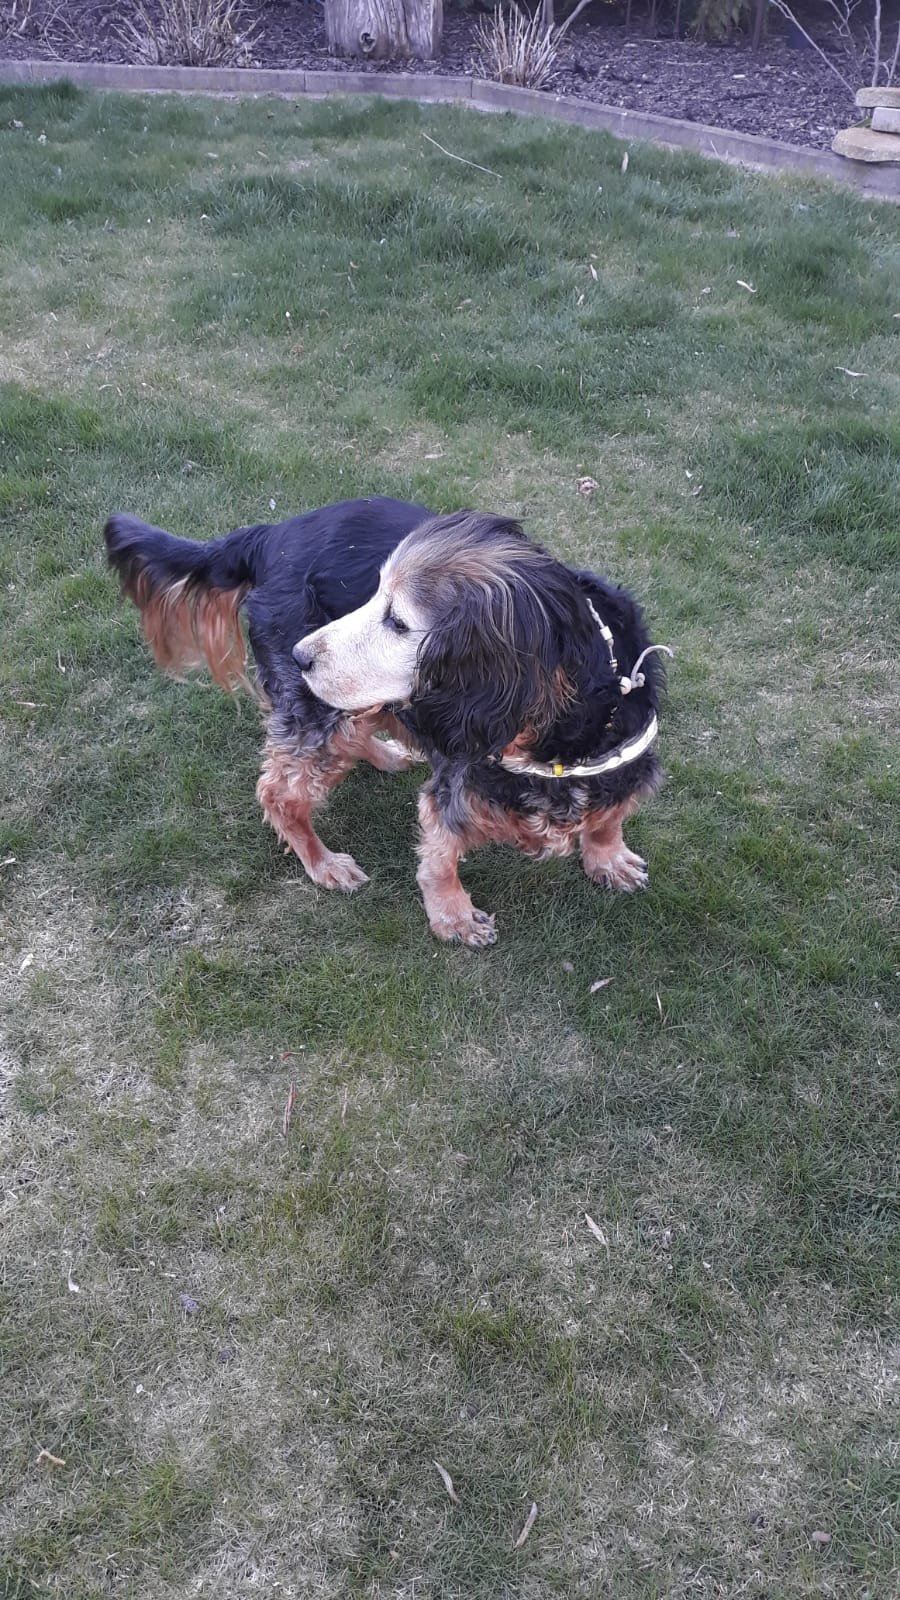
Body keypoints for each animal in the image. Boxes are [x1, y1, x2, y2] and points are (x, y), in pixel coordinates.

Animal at [104, 497, 668, 946]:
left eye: (397, 621)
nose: (300, 655)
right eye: (372, 594)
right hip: (316, 711)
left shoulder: (625, 758)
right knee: (280, 792)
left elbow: (610, 816)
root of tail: (270, 534)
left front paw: (608, 858)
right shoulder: (456, 786)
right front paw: (453, 916)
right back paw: (322, 862)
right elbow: (440, 858)